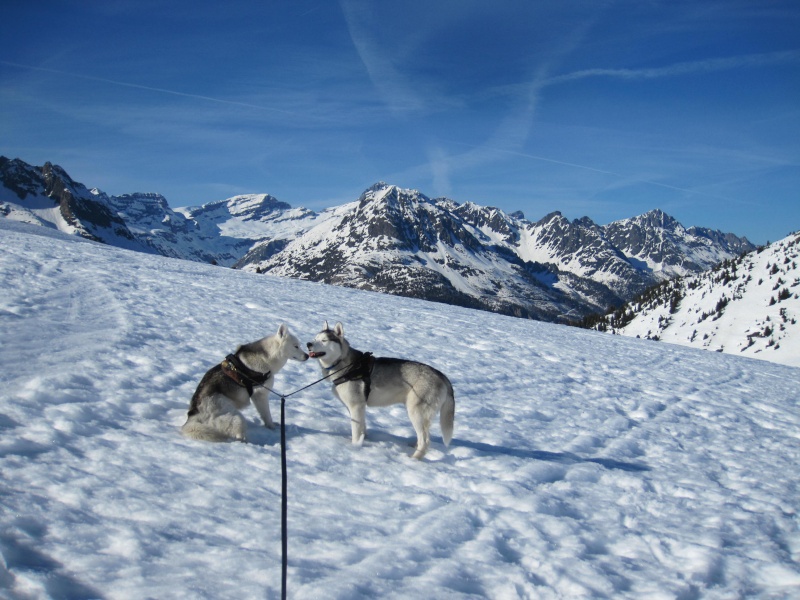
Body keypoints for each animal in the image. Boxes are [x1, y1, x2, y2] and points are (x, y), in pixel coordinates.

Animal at [182, 324, 310, 440]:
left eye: (299, 345)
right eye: (296, 346)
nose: (307, 356)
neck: (268, 357)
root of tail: (193, 415)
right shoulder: (260, 396)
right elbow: (267, 416)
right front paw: (272, 428)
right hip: (237, 419)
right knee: (239, 435)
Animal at [308, 324, 456, 460]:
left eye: (324, 340)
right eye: (315, 338)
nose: (308, 344)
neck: (345, 365)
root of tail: (441, 375)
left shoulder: (356, 406)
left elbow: (355, 431)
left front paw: (354, 448)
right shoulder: (357, 408)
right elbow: (362, 427)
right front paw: (363, 440)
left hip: (415, 412)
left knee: (425, 440)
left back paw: (413, 459)